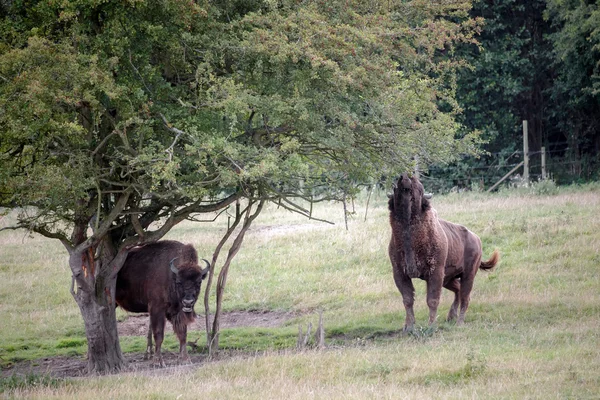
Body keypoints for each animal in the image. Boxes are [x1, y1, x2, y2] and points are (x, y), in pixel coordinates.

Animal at [116, 239, 210, 368]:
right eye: (179, 282)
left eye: (199, 282)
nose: (188, 302)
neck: (171, 275)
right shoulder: (157, 309)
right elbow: (159, 334)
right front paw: (158, 362)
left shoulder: (177, 312)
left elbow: (182, 334)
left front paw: (185, 359)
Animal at [386, 174, 500, 332]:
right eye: (395, 187)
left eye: (419, 188)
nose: (405, 177)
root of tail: (476, 239)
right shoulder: (399, 273)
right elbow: (408, 299)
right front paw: (408, 327)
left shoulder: (436, 273)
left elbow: (432, 300)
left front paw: (431, 326)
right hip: (449, 279)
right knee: (458, 290)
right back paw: (451, 317)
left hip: (468, 274)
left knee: (465, 296)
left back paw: (459, 322)